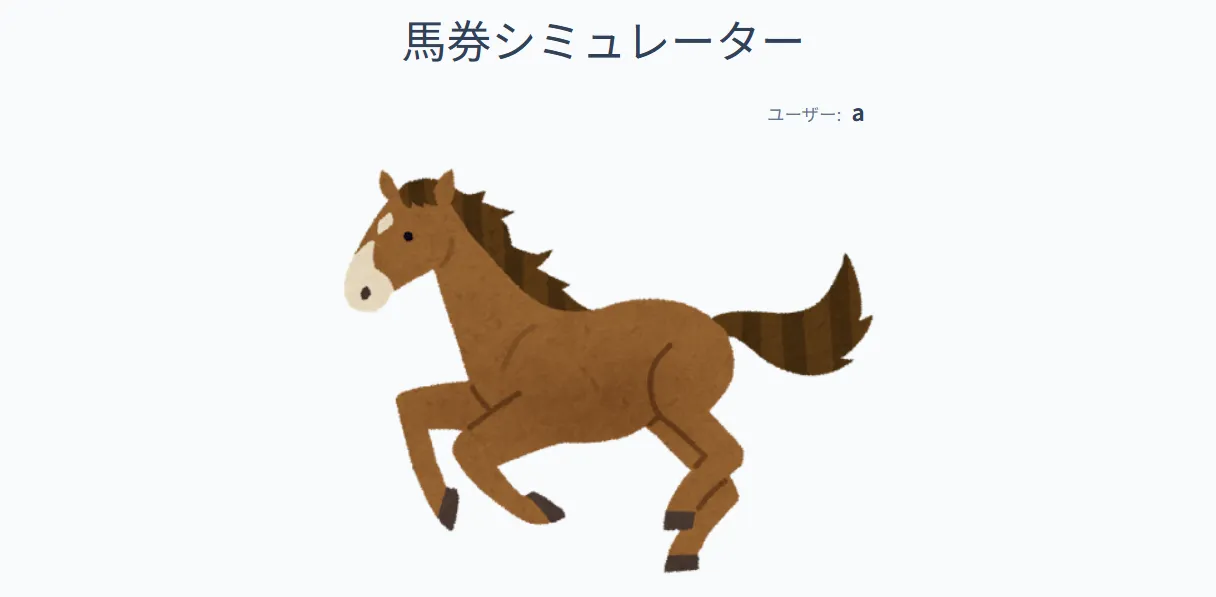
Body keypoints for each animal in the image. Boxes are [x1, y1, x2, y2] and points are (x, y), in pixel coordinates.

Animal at [343, 170, 872, 573]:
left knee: (731, 454)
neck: (513, 333)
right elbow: (411, 407)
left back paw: (677, 511)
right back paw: (682, 553)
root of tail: (718, 325)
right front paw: (445, 507)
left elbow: (467, 449)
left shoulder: (539, 422)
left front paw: (541, 510)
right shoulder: (480, 400)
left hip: (680, 407)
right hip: (664, 423)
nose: (359, 292)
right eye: (372, 224)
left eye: (407, 234)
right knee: (728, 481)